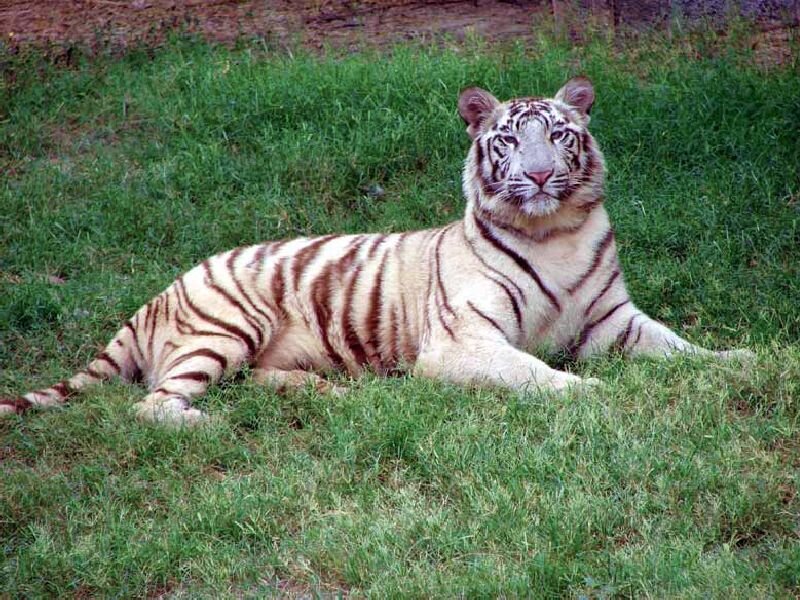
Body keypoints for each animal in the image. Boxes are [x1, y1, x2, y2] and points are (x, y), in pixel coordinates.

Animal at [0, 77, 752, 425]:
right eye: (510, 139)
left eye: (560, 135)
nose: (539, 176)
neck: (555, 232)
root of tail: (155, 296)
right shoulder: (462, 342)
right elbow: (532, 372)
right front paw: (590, 392)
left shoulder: (613, 320)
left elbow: (681, 347)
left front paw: (740, 360)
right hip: (228, 325)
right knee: (153, 406)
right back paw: (209, 425)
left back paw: (331, 394)